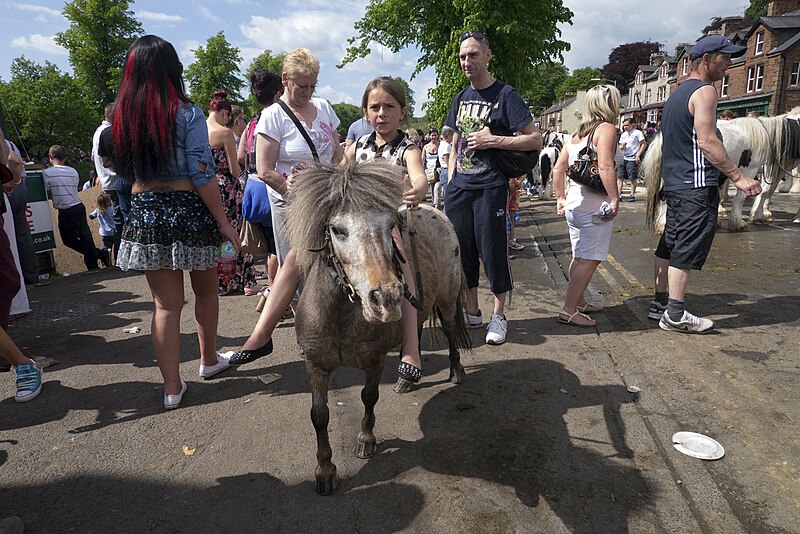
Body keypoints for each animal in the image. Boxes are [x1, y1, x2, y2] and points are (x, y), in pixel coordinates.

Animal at [288, 163, 472, 498]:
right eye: (337, 229)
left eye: (390, 226)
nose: (386, 298)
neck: (341, 317)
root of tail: (433, 210)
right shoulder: (315, 364)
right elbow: (319, 415)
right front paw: (325, 471)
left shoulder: (373, 361)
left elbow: (368, 396)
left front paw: (366, 440)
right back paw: (407, 377)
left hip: (447, 299)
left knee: (452, 331)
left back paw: (456, 371)